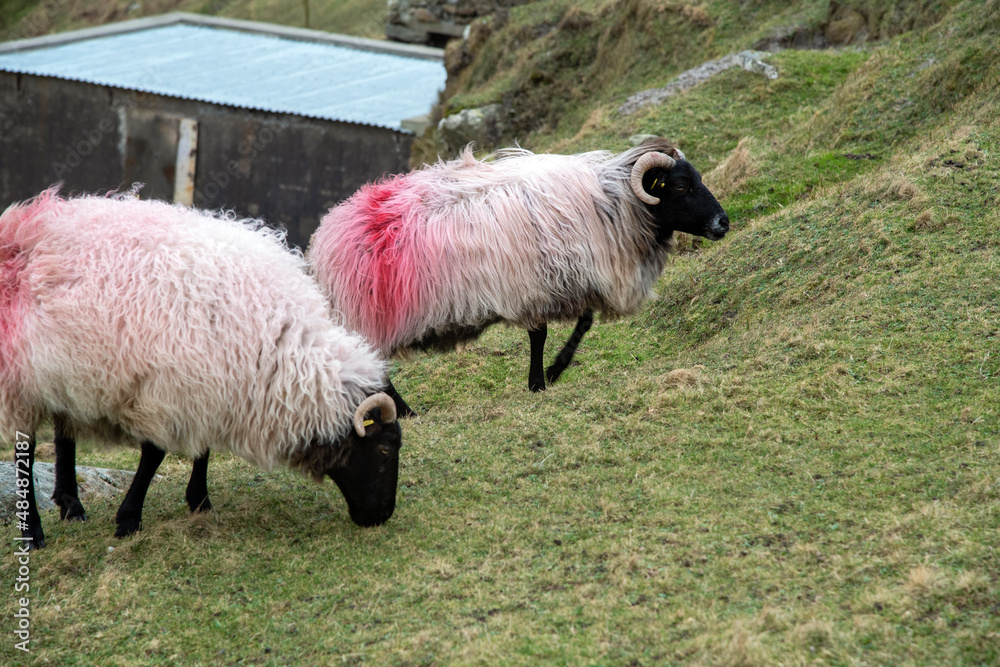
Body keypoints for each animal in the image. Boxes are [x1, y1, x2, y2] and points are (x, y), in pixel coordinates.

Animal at [1, 189, 402, 550]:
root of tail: (20, 226)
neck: (281, 347)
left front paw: (200, 501)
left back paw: (70, 504)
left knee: (63, 433)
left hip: (61, 373)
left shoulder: (209, 381)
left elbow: (202, 449)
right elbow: (154, 456)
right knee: (25, 452)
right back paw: (33, 533)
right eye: (385, 450)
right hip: (19, 380)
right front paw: (129, 519)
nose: (382, 517)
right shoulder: (167, 387)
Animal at [307, 138, 730, 413]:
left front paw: (553, 371)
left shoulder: (571, 277)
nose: (723, 223)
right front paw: (541, 380)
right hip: (369, 314)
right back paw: (407, 412)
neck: (612, 205)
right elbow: (540, 335)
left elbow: (585, 321)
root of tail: (327, 234)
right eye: (680, 185)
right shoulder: (535, 284)